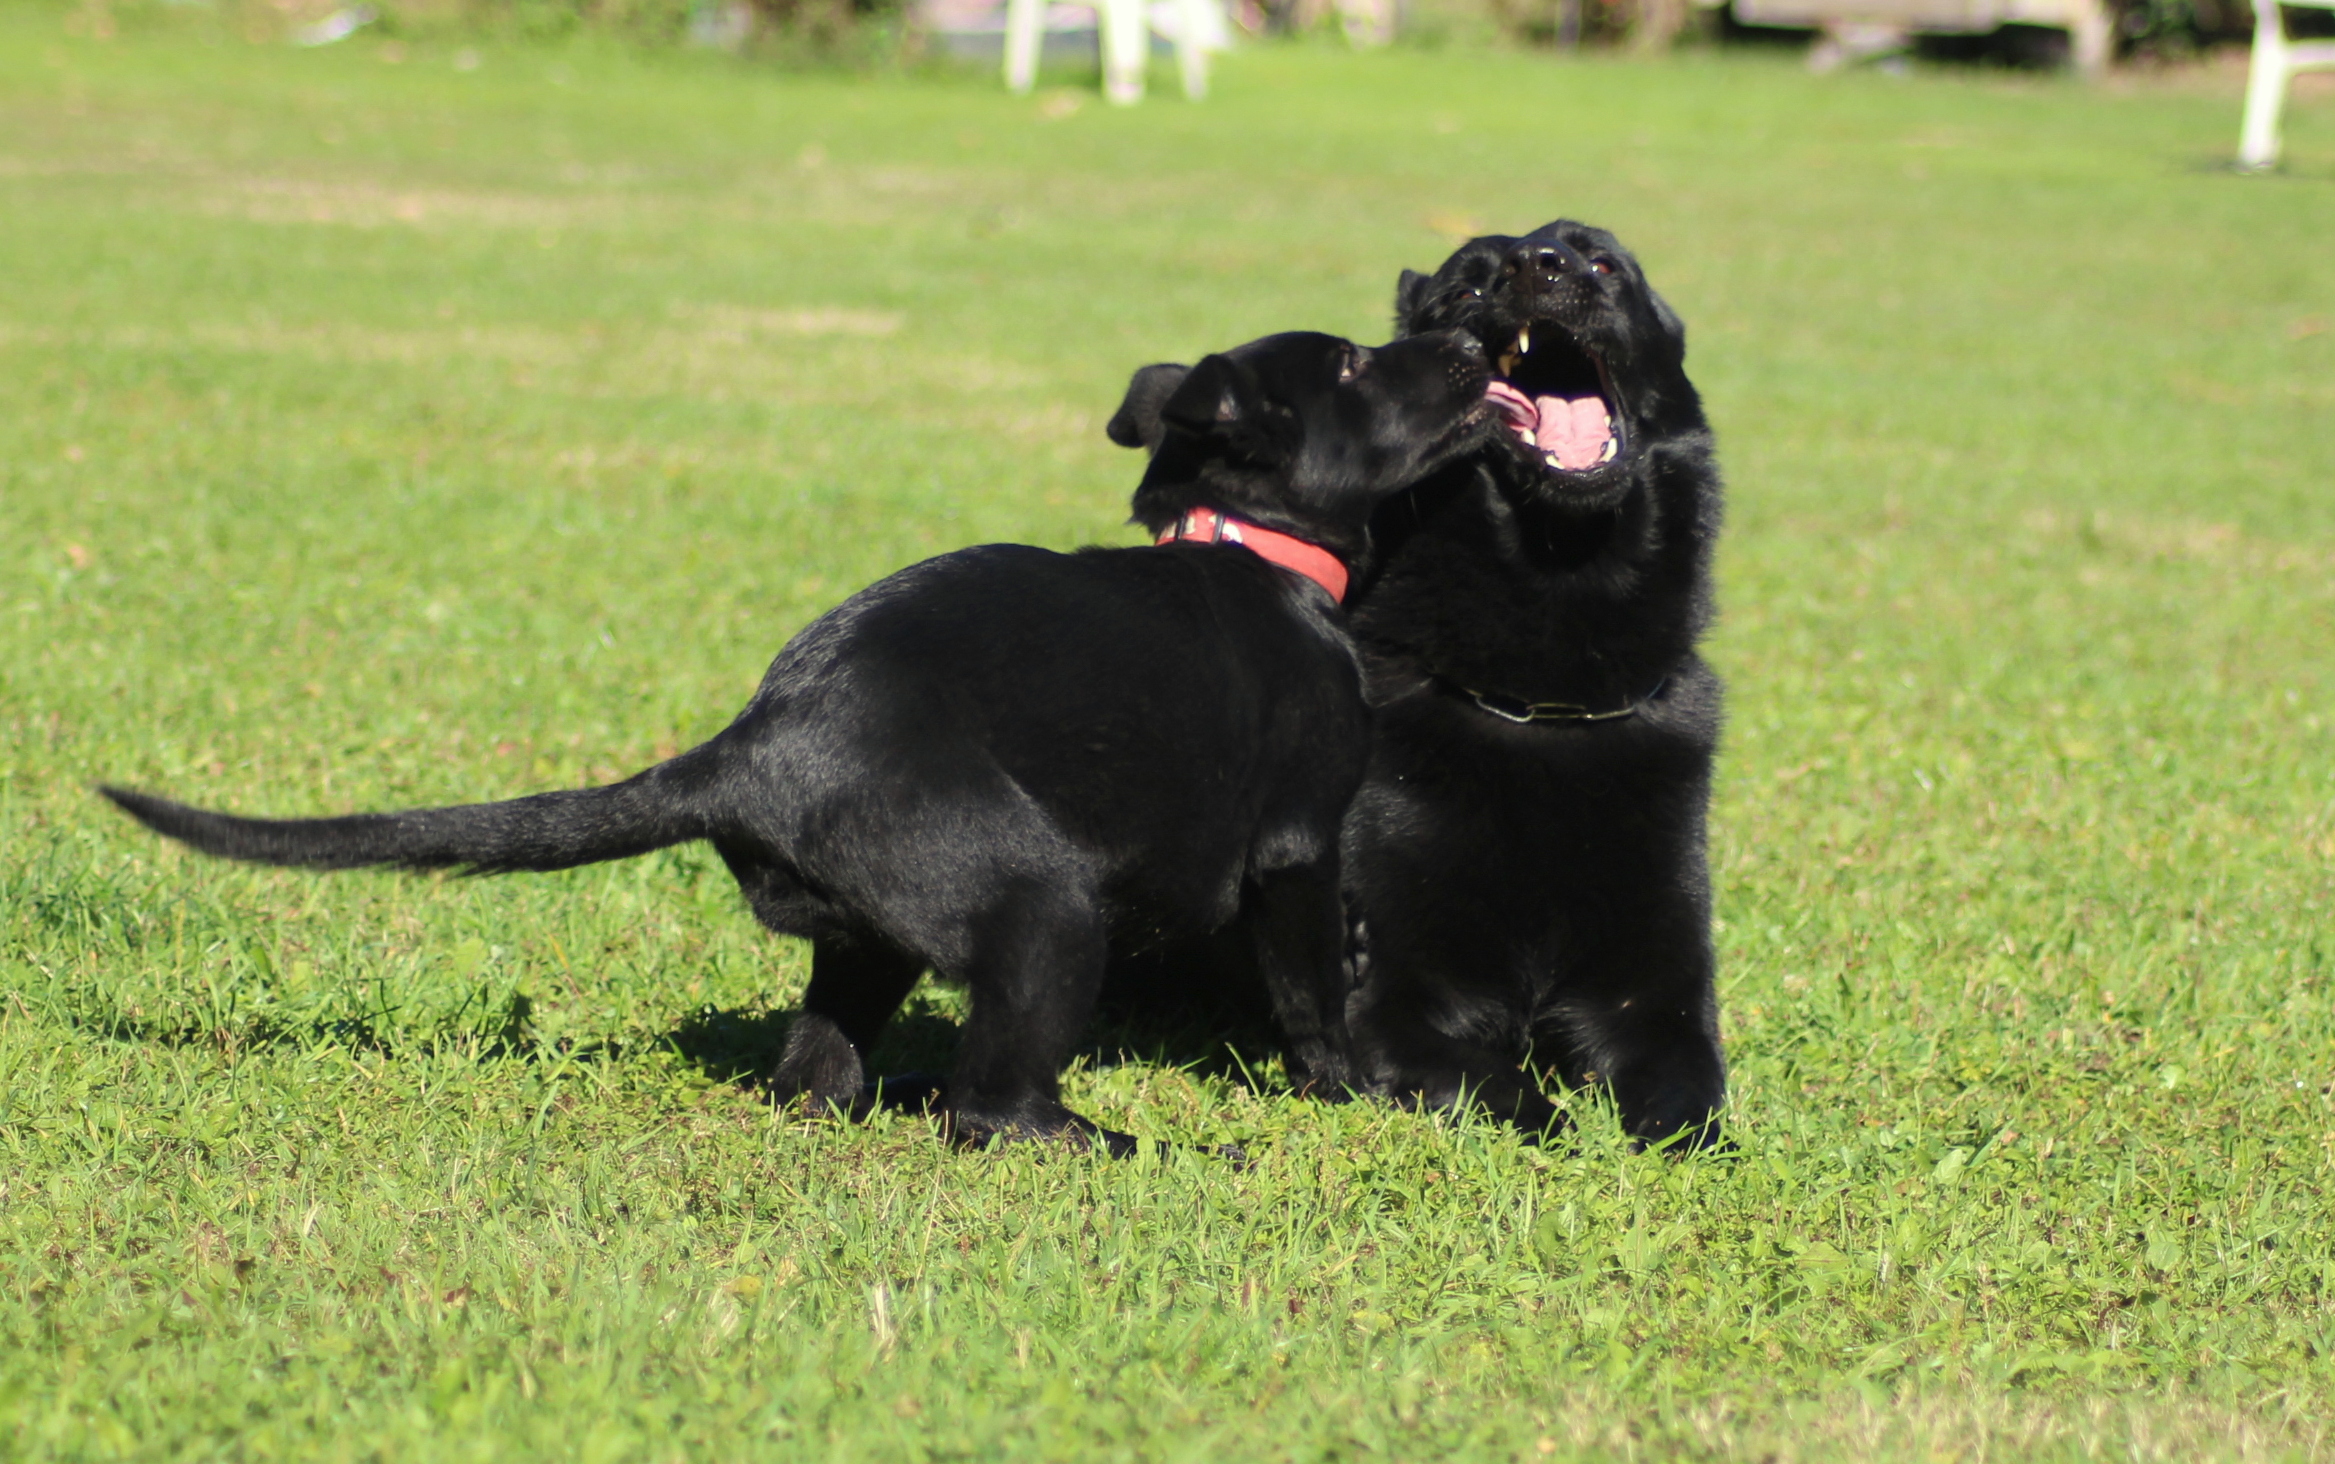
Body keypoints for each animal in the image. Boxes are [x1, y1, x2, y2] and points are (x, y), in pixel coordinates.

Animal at [100, 329, 1485, 1158]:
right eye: (1355, 366)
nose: (1470, 346)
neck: (1254, 549)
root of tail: (746, 748)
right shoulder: (1295, 850)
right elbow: (1316, 996)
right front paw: (1354, 1092)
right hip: (1042, 909)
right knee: (988, 1109)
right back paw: (1110, 1142)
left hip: (872, 938)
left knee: (816, 1071)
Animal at [1335, 222, 1737, 1153]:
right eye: (1464, 290)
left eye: (1601, 262)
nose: (1537, 266)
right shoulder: (1391, 1002)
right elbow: (1510, 1096)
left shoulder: (1657, 1000)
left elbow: (1689, 1105)